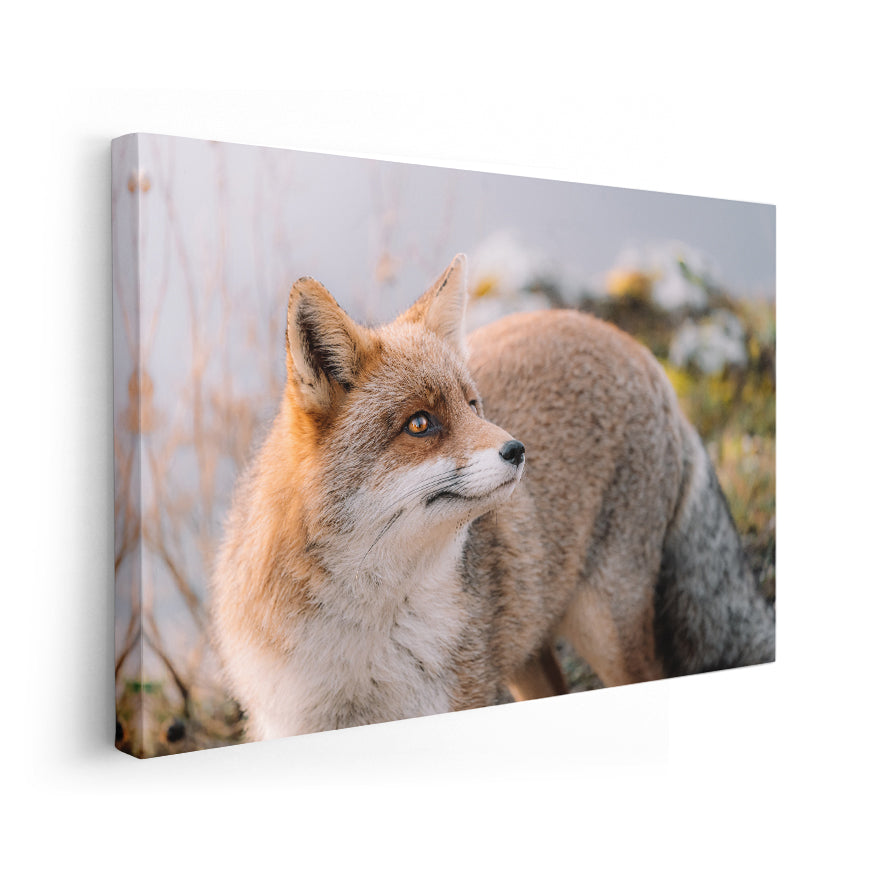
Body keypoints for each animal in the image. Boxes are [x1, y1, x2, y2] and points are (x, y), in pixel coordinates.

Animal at [210, 254, 775, 741]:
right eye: (420, 423)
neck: (361, 643)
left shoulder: (462, 697)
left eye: (472, 405)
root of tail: (630, 344)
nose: (518, 449)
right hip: (528, 650)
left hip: (606, 631)